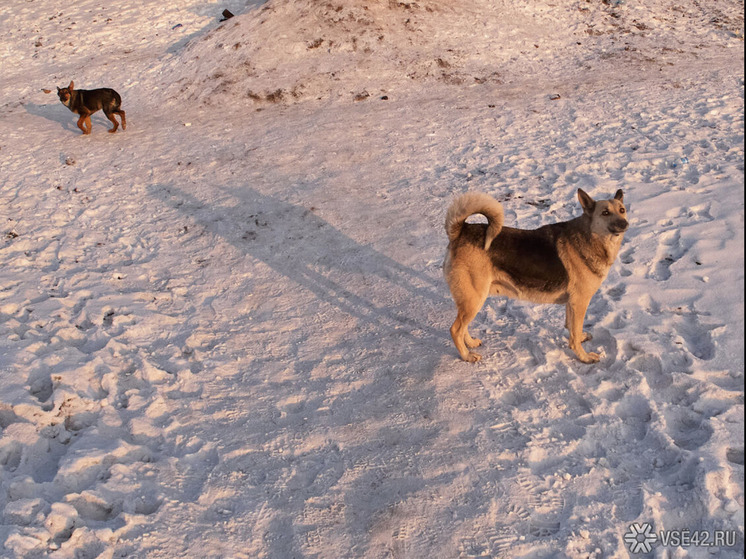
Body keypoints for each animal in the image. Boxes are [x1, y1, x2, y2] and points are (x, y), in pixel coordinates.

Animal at [444, 188, 624, 364]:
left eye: (622, 210)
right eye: (605, 213)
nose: (624, 223)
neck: (589, 236)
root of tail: (461, 231)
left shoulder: (572, 303)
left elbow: (572, 328)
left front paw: (580, 338)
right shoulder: (579, 302)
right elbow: (574, 334)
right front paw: (584, 357)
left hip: (471, 300)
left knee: (463, 327)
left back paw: (470, 343)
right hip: (474, 299)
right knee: (455, 329)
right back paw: (467, 356)